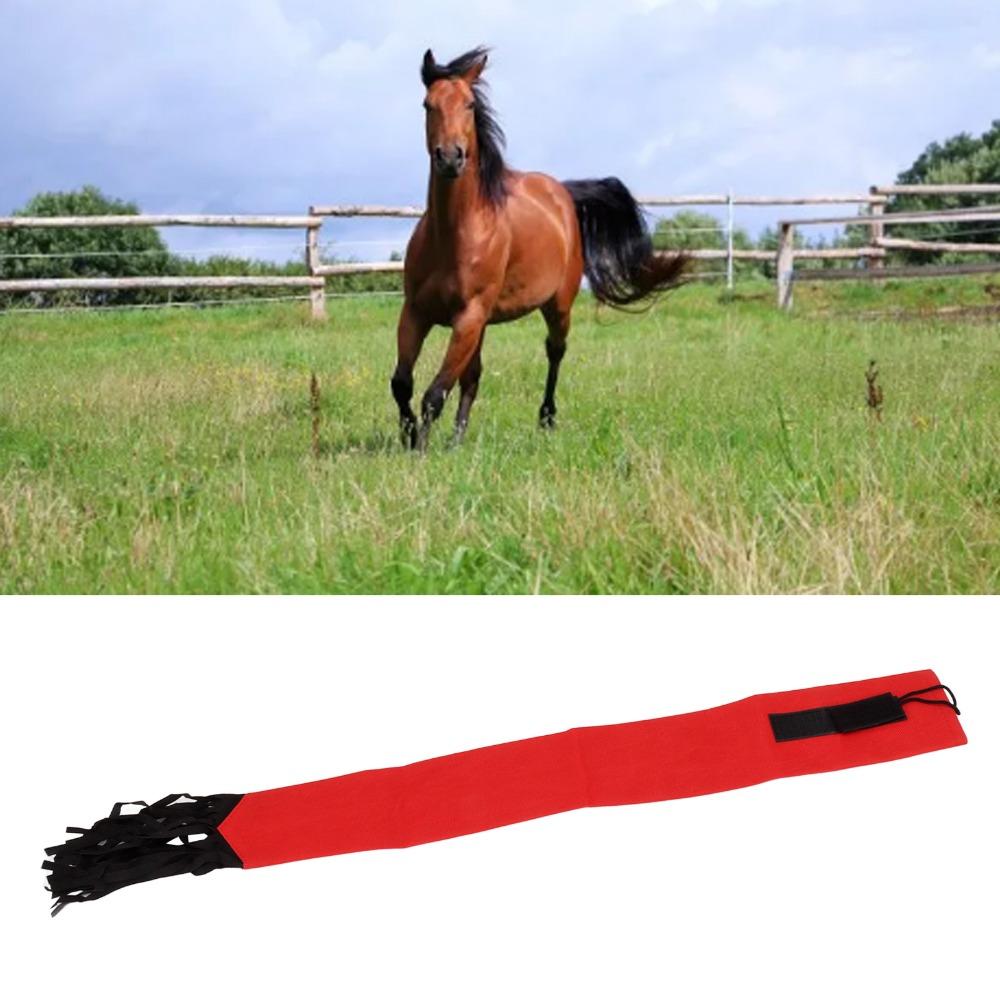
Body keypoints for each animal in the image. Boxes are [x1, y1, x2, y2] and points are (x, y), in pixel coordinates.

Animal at [390, 46, 688, 450]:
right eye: (427, 105)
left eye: (469, 105)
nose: (450, 157)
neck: (454, 235)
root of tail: (562, 193)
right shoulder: (418, 312)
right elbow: (402, 383)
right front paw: (409, 437)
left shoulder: (468, 317)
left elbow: (434, 393)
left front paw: (419, 449)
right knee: (473, 377)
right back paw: (457, 440)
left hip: (557, 305)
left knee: (554, 351)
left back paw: (546, 419)